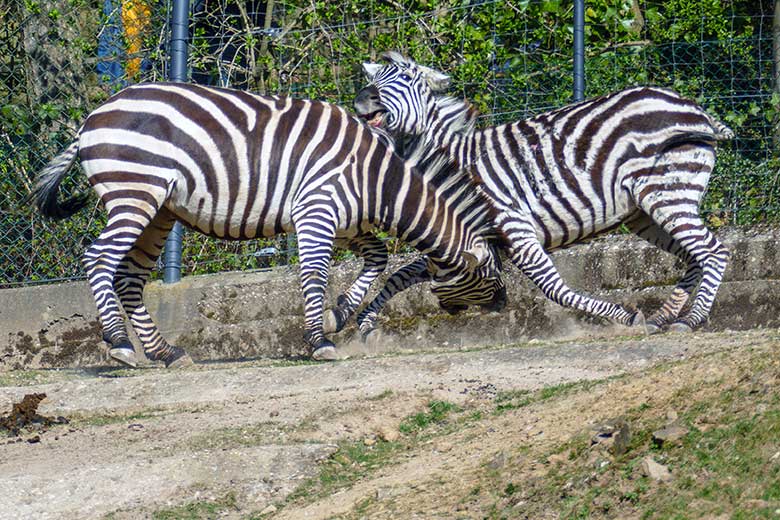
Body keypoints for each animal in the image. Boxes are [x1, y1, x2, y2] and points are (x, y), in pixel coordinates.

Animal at [32, 82, 506, 366]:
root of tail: (93, 117)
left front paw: (337, 316)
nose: (503, 306)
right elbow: (315, 274)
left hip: (160, 210)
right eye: (490, 272)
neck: (378, 177)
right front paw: (320, 341)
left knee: (129, 277)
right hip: (135, 194)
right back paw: (120, 344)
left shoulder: (349, 222)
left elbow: (377, 257)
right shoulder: (317, 209)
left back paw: (166, 352)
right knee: (99, 259)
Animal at [356, 52, 736, 336]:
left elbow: (555, 289)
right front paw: (361, 322)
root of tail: (687, 103)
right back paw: (664, 317)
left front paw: (621, 317)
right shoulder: (461, 237)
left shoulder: (513, 228)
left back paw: (690, 320)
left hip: (667, 193)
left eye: (406, 78)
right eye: (374, 81)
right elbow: (401, 274)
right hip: (645, 212)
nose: (363, 99)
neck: (453, 165)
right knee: (693, 256)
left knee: (713, 252)